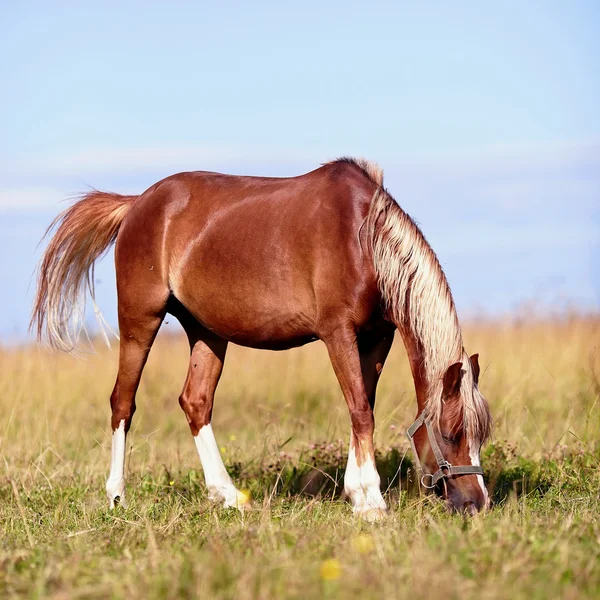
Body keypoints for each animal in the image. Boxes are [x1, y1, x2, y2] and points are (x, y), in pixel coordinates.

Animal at [30, 157, 492, 516]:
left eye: (481, 435)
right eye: (451, 434)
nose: (477, 502)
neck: (362, 239)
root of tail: (137, 204)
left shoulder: (378, 337)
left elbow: (363, 407)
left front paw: (357, 493)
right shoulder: (337, 333)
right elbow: (361, 410)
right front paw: (371, 501)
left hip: (207, 332)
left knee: (195, 402)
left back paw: (228, 495)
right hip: (140, 321)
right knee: (122, 402)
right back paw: (117, 496)